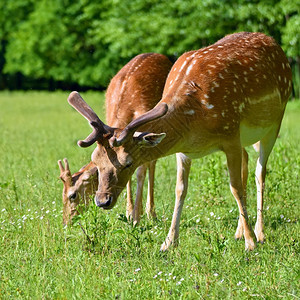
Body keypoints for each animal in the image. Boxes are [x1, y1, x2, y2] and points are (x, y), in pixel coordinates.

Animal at [59, 52, 172, 224]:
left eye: (73, 195)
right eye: (97, 162)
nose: (66, 222)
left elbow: (141, 171)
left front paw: (137, 216)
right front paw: (129, 212)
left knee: (152, 164)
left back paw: (151, 213)